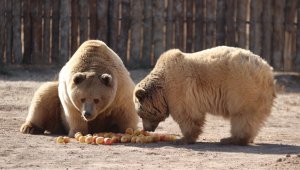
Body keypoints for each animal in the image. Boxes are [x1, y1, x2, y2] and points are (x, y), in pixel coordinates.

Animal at [135, 46, 276, 145]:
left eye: (141, 114)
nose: (147, 129)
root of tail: (268, 71)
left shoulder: (178, 88)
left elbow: (187, 114)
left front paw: (183, 139)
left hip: (242, 86)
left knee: (242, 116)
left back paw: (230, 139)